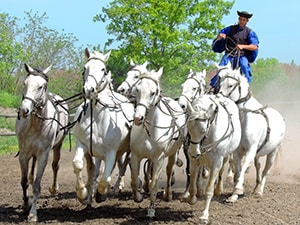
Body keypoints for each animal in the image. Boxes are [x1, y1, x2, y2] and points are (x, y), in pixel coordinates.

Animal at [15, 62, 69, 221]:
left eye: (41, 86)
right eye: (25, 83)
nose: (24, 110)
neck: (35, 124)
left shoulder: (44, 155)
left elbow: (37, 186)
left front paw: (33, 214)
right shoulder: (23, 154)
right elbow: (24, 182)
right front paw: (26, 205)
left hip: (58, 145)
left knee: (55, 166)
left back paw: (54, 188)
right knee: (31, 169)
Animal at [72, 48, 134, 205]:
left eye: (103, 70)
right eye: (84, 68)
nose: (89, 90)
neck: (97, 117)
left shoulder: (112, 151)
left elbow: (105, 178)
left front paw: (100, 194)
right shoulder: (82, 144)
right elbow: (78, 164)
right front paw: (83, 193)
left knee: (119, 167)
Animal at [130, 67, 186, 217]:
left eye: (153, 92)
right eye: (137, 89)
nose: (138, 118)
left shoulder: (159, 158)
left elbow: (154, 183)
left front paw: (151, 210)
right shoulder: (135, 156)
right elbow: (134, 180)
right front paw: (138, 197)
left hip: (172, 154)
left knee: (168, 172)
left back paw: (167, 195)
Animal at [186, 93, 243, 223]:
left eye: (203, 130)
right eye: (189, 128)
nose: (194, 152)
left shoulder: (216, 162)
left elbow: (209, 190)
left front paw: (204, 215)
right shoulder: (193, 161)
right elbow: (192, 185)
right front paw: (192, 199)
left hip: (225, 156)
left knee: (222, 171)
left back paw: (219, 188)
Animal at [217, 62, 284, 202]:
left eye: (230, 85)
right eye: (220, 79)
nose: (218, 98)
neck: (244, 118)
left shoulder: (250, 150)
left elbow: (242, 169)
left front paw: (238, 189)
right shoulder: (237, 151)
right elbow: (237, 170)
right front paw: (233, 194)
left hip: (273, 152)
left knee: (265, 171)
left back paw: (259, 191)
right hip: (258, 154)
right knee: (258, 167)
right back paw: (255, 187)